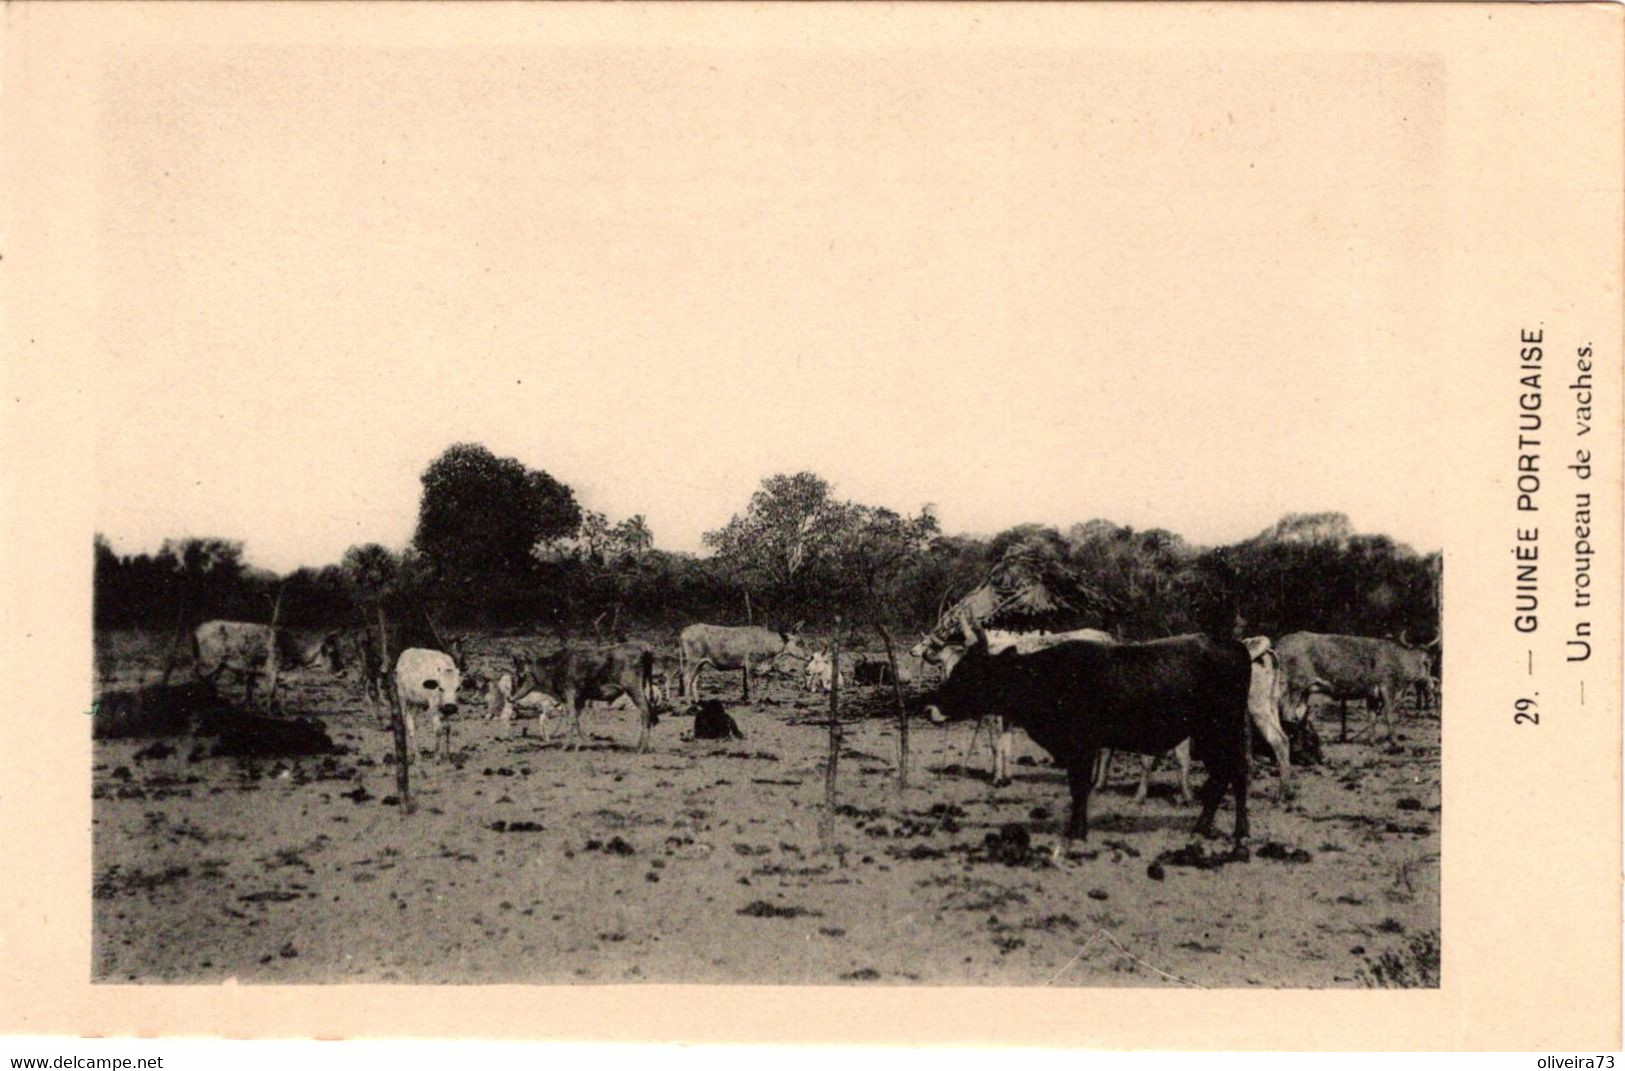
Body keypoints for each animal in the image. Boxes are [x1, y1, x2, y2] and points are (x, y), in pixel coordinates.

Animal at [190, 614, 342, 708]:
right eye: (332, 654)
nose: (343, 672)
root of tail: (196, 632)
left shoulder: (253, 670)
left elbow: (250, 692)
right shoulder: (271, 669)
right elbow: (271, 694)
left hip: (218, 664)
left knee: (209, 681)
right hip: (209, 661)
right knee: (197, 676)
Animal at [507, 646, 659, 754]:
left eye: (519, 675)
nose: (510, 697)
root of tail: (643, 650)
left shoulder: (569, 693)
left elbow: (571, 719)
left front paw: (566, 746)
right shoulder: (580, 698)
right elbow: (577, 719)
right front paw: (580, 744)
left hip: (633, 688)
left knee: (646, 711)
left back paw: (641, 748)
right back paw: (643, 746)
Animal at [676, 620, 809, 705]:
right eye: (799, 643)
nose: (810, 656)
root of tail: (683, 632)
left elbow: (751, 684)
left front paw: (751, 699)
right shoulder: (750, 663)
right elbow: (750, 684)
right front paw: (752, 701)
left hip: (701, 663)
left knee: (694, 680)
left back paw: (697, 701)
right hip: (693, 660)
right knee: (686, 678)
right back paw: (688, 701)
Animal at [923, 627, 1248, 845]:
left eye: (967, 674)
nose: (929, 708)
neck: (1046, 677)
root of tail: (1230, 644)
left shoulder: (1082, 745)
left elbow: (1080, 787)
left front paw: (1076, 832)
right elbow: (1075, 786)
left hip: (1222, 730)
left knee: (1237, 774)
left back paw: (1238, 833)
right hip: (1210, 735)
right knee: (1223, 776)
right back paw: (1202, 828)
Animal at [1280, 633, 1436, 741]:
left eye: (1429, 662)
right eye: (1425, 663)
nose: (1428, 683)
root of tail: (1280, 643)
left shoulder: (1372, 694)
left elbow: (1372, 718)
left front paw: (1372, 741)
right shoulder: (1387, 687)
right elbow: (1389, 715)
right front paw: (1393, 741)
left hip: (1304, 691)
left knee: (1298, 714)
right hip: (1294, 687)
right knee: (1286, 714)